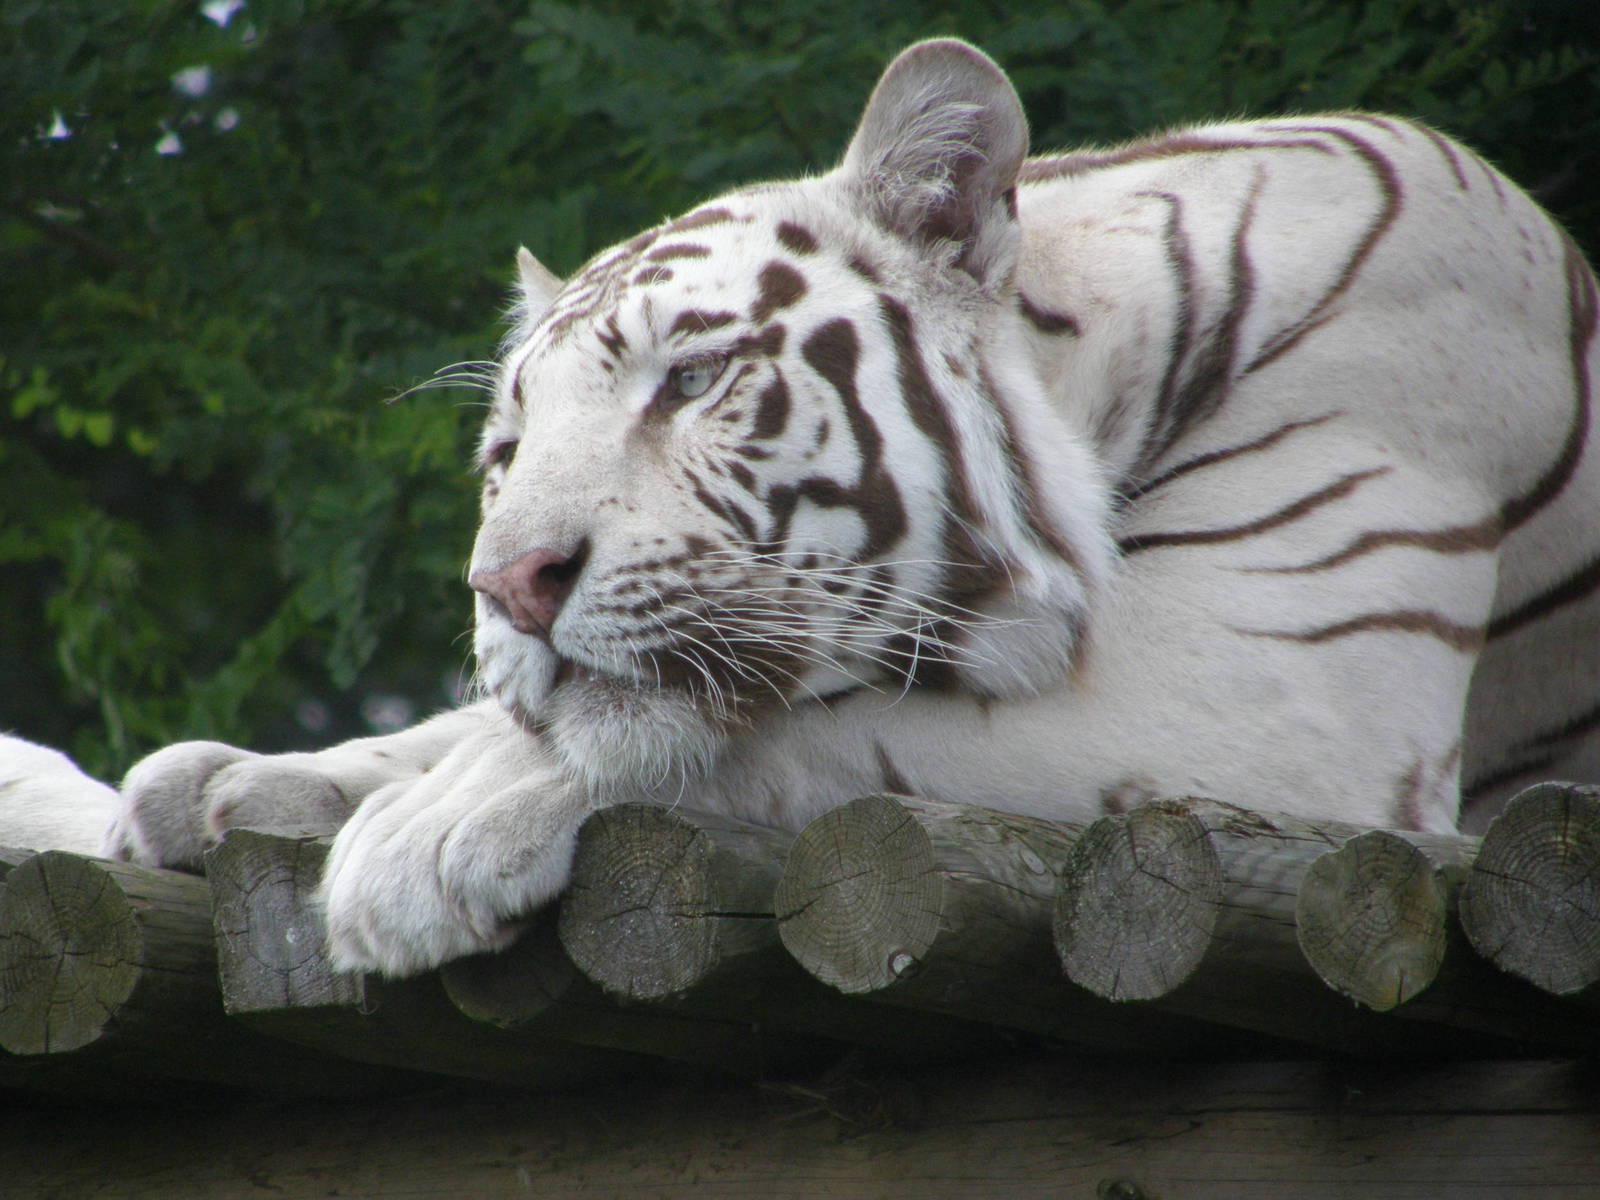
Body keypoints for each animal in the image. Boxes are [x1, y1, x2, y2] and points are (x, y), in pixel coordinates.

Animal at [99, 38, 1600, 978]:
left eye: (689, 378)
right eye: (507, 450)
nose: (509, 586)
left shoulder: (1273, 705)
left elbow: (812, 729)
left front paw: (420, 842)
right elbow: (486, 720)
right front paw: (228, 782)